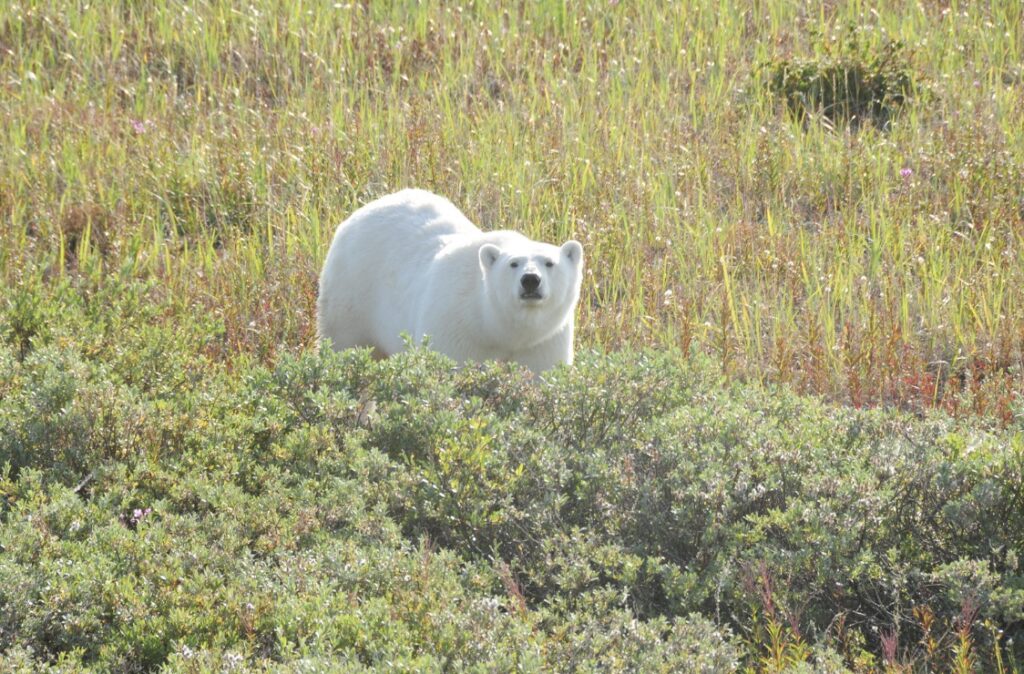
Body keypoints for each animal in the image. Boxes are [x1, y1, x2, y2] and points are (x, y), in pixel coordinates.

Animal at [315, 186, 585, 370]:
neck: (493, 326)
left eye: (549, 262)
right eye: (513, 263)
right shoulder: (456, 327)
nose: (530, 280)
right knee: (346, 346)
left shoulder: (544, 341)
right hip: (352, 294)